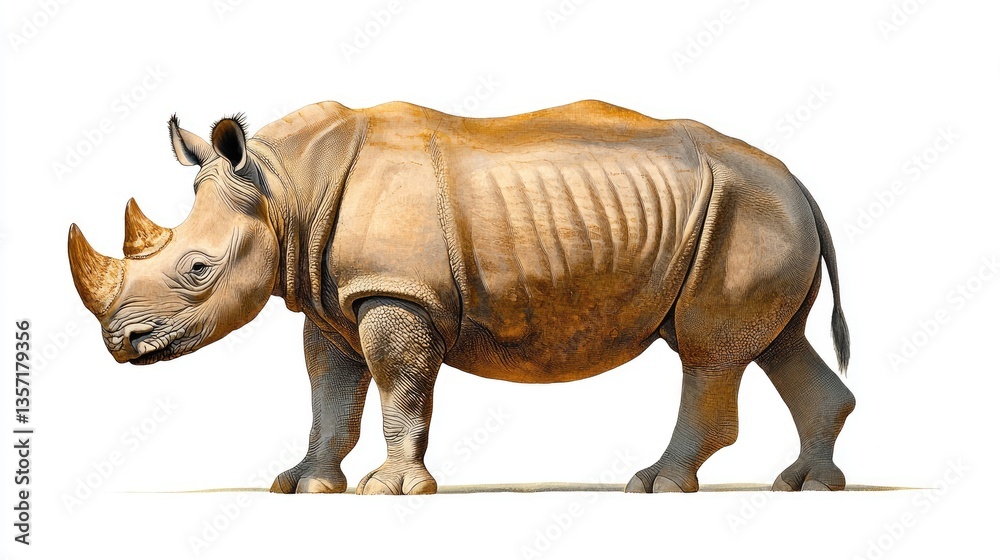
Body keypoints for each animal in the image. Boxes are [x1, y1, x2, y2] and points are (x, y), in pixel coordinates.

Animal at [67, 100, 855, 494]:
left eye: (198, 269)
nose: (121, 343)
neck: (284, 190)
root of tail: (802, 183)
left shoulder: (397, 293)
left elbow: (399, 388)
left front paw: (391, 490)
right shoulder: (332, 297)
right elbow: (331, 396)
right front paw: (302, 485)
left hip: (742, 211)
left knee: (708, 351)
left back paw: (656, 486)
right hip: (755, 214)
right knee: (776, 343)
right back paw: (807, 488)